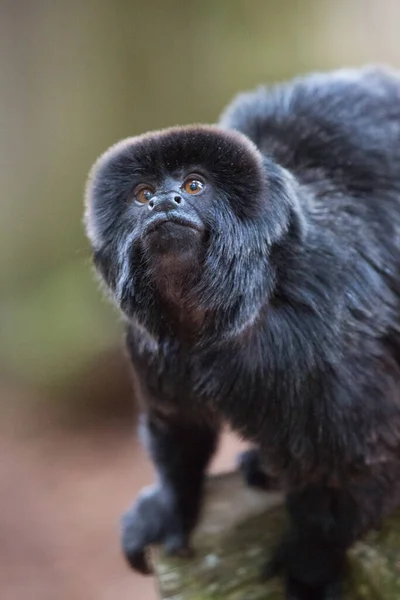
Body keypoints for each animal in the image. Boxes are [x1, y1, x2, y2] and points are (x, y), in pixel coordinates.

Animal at [83, 67, 400, 600]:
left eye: (194, 185)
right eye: (143, 195)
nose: (164, 203)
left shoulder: (320, 343)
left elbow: (352, 467)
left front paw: (311, 564)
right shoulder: (155, 349)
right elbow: (178, 425)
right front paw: (172, 503)